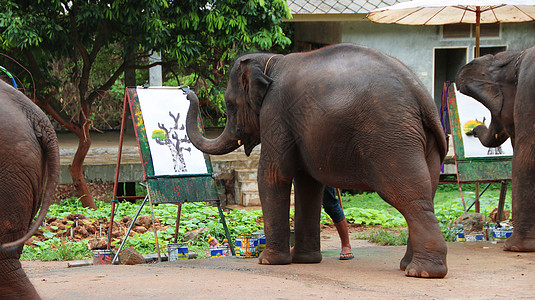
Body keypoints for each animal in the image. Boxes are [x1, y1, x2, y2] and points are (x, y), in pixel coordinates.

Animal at [186, 43, 450, 278]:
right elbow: (308, 183)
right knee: (427, 194)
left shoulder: (276, 112)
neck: (271, 60)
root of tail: (420, 94)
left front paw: (268, 261)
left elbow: (274, 175)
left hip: (390, 139)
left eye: (230, 104)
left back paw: (423, 272)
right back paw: (407, 265)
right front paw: (305, 260)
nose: (187, 92)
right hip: (426, 143)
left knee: (410, 198)